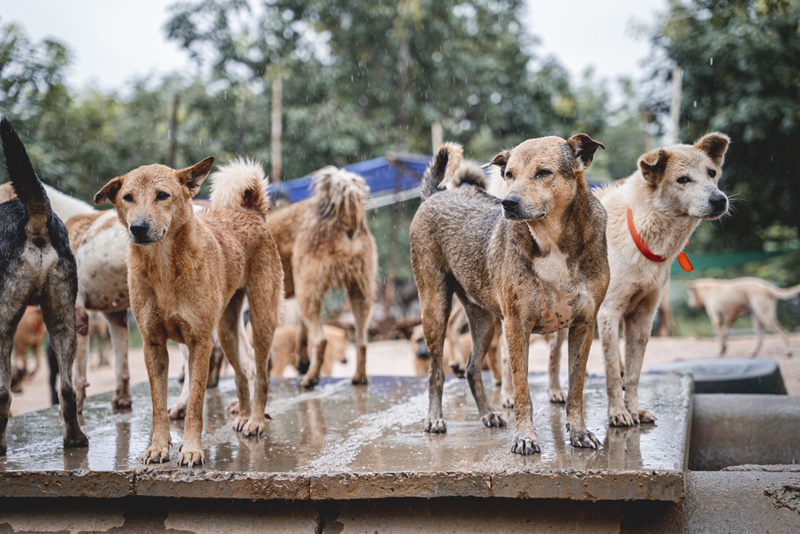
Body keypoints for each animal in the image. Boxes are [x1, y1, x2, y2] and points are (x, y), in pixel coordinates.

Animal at [95, 157, 282, 466]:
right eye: (127, 198)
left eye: (162, 195)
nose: (138, 227)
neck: (163, 268)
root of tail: (250, 210)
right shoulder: (153, 344)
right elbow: (158, 406)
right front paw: (158, 447)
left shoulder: (200, 343)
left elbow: (195, 403)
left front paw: (192, 449)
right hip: (226, 331)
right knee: (241, 375)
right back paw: (242, 416)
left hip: (261, 320)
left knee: (261, 375)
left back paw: (255, 420)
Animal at [268, 166, 376, 390]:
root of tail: (343, 217)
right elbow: (301, 334)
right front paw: (302, 361)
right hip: (359, 291)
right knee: (361, 340)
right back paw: (359, 378)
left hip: (308, 290)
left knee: (321, 340)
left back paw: (310, 379)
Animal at [410, 139, 608, 456]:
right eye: (509, 174)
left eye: (543, 172)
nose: (508, 203)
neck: (551, 241)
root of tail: (436, 194)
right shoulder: (517, 325)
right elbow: (521, 387)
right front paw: (525, 437)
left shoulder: (584, 325)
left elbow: (576, 387)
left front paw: (579, 433)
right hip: (434, 308)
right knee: (436, 372)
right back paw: (435, 419)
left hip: (484, 321)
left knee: (471, 368)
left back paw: (487, 414)